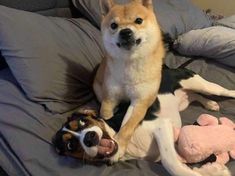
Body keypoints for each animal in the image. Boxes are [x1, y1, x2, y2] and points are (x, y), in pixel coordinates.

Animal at [92, 0, 164, 160]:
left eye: (139, 20)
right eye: (113, 25)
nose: (125, 32)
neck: (129, 61)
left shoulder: (140, 102)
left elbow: (128, 127)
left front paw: (119, 146)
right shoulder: (109, 97)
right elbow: (105, 114)